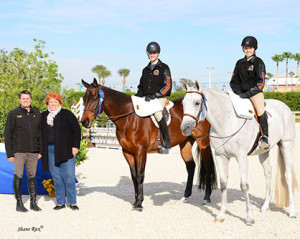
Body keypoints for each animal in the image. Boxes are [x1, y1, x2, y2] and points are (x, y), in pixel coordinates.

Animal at [79, 77, 216, 210]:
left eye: (95, 98)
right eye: (84, 98)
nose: (85, 121)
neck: (129, 118)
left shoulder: (141, 151)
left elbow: (140, 175)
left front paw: (139, 203)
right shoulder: (127, 152)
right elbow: (134, 176)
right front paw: (135, 201)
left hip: (203, 142)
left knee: (208, 166)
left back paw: (207, 198)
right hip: (185, 143)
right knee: (191, 166)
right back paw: (186, 196)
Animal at [180, 81, 298, 225]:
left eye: (197, 102)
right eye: (183, 103)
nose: (185, 128)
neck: (227, 121)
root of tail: (284, 106)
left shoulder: (241, 157)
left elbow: (244, 185)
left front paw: (249, 218)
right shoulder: (221, 157)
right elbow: (223, 184)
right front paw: (221, 215)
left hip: (286, 145)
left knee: (288, 176)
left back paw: (292, 212)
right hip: (264, 152)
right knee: (268, 173)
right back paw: (265, 206)